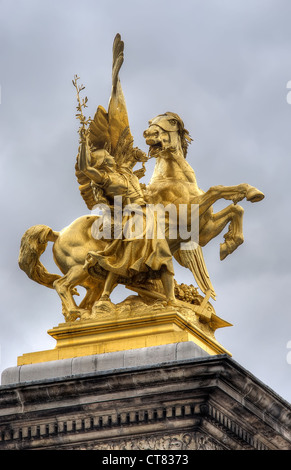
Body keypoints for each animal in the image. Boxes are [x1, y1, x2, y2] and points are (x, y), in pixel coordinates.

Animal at [17, 32, 264, 320]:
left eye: (168, 122)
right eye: (150, 123)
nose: (148, 134)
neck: (176, 177)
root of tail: (57, 233)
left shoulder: (202, 230)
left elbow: (235, 210)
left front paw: (231, 240)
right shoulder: (186, 215)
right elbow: (217, 190)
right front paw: (248, 194)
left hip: (91, 276)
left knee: (91, 290)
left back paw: (101, 311)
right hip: (80, 267)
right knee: (61, 284)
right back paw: (80, 314)